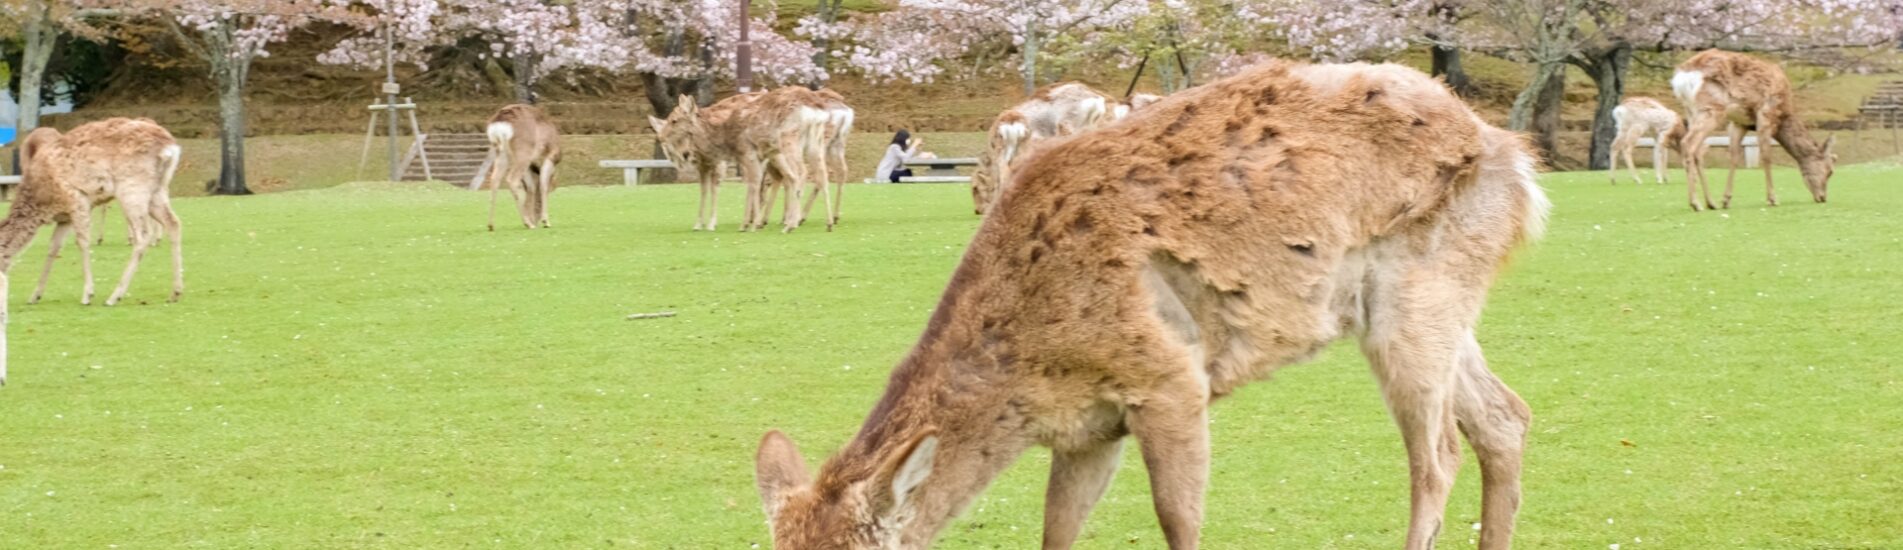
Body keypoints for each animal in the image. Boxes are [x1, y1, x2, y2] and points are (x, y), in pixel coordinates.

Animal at [654, 86, 833, 232]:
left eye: (674, 120)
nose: (660, 136)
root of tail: (815, 108)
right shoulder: (754, 156)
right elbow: (752, 184)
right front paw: (748, 223)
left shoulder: (747, 153)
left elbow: (752, 184)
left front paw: (749, 224)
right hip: (814, 142)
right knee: (820, 174)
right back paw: (827, 223)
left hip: (789, 140)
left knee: (799, 173)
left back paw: (790, 224)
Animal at [1674, 49, 1834, 209]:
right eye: (1830, 171)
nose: (1822, 197)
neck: (1783, 114)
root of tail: (1680, 77)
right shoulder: (1765, 114)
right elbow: (1766, 155)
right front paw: (1773, 198)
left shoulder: (1739, 122)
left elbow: (1734, 156)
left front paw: (1726, 200)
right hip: (1711, 107)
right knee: (1688, 143)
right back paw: (1696, 203)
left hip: (1691, 111)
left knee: (1698, 150)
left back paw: (1711, 203)